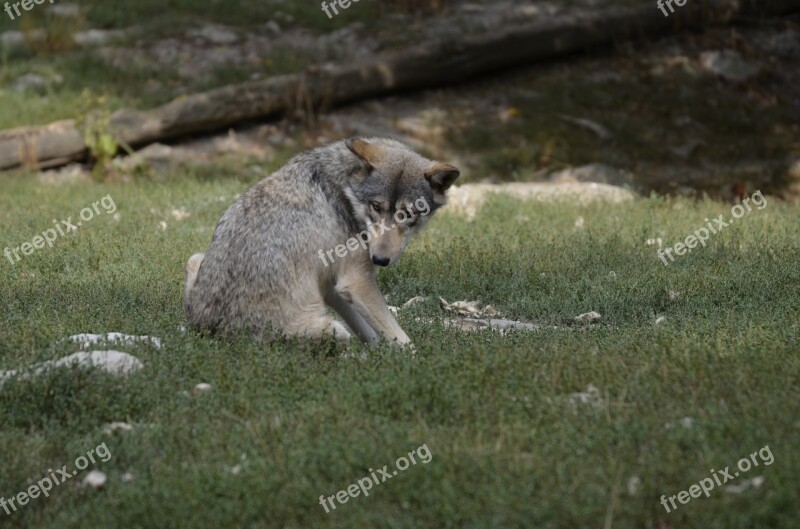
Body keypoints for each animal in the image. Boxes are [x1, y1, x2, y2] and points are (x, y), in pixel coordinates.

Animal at [181, 136, 456, 346]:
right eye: (377, 207)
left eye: (407, 214)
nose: (379, 259)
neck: (345, 188)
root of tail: (212, 333)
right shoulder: (356, 281)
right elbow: (402, 340)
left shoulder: (331, 286)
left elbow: (369, 331)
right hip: (334, 330)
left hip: (195, 259)